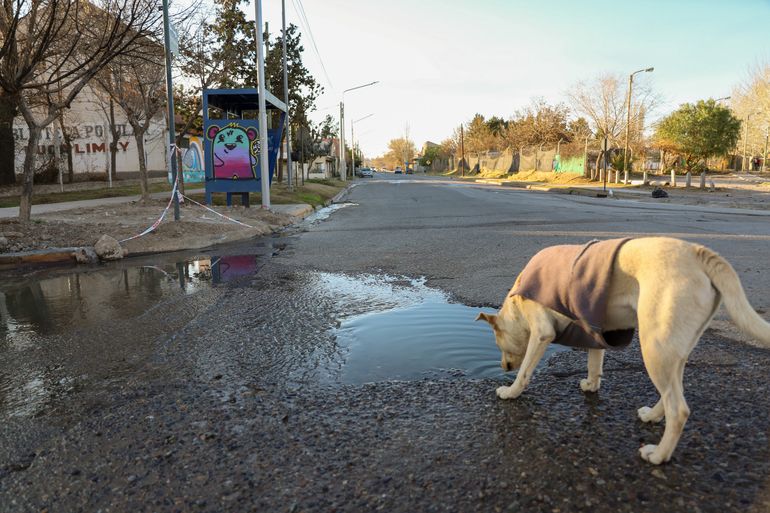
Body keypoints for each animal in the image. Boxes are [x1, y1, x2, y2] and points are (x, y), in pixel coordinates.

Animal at [474, 236, 768, 464]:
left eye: (499, 344)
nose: (502, 367)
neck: (516, 304)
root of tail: (697, 252)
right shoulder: (596, 333)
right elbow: (594, 364)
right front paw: (591, 385)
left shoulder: (542, 332)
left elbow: (525, 371)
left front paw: (511, 391)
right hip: (672, 351)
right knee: (672, 392)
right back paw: (652, 415)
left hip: (654, 347)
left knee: (679, 410)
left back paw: (659, 455)